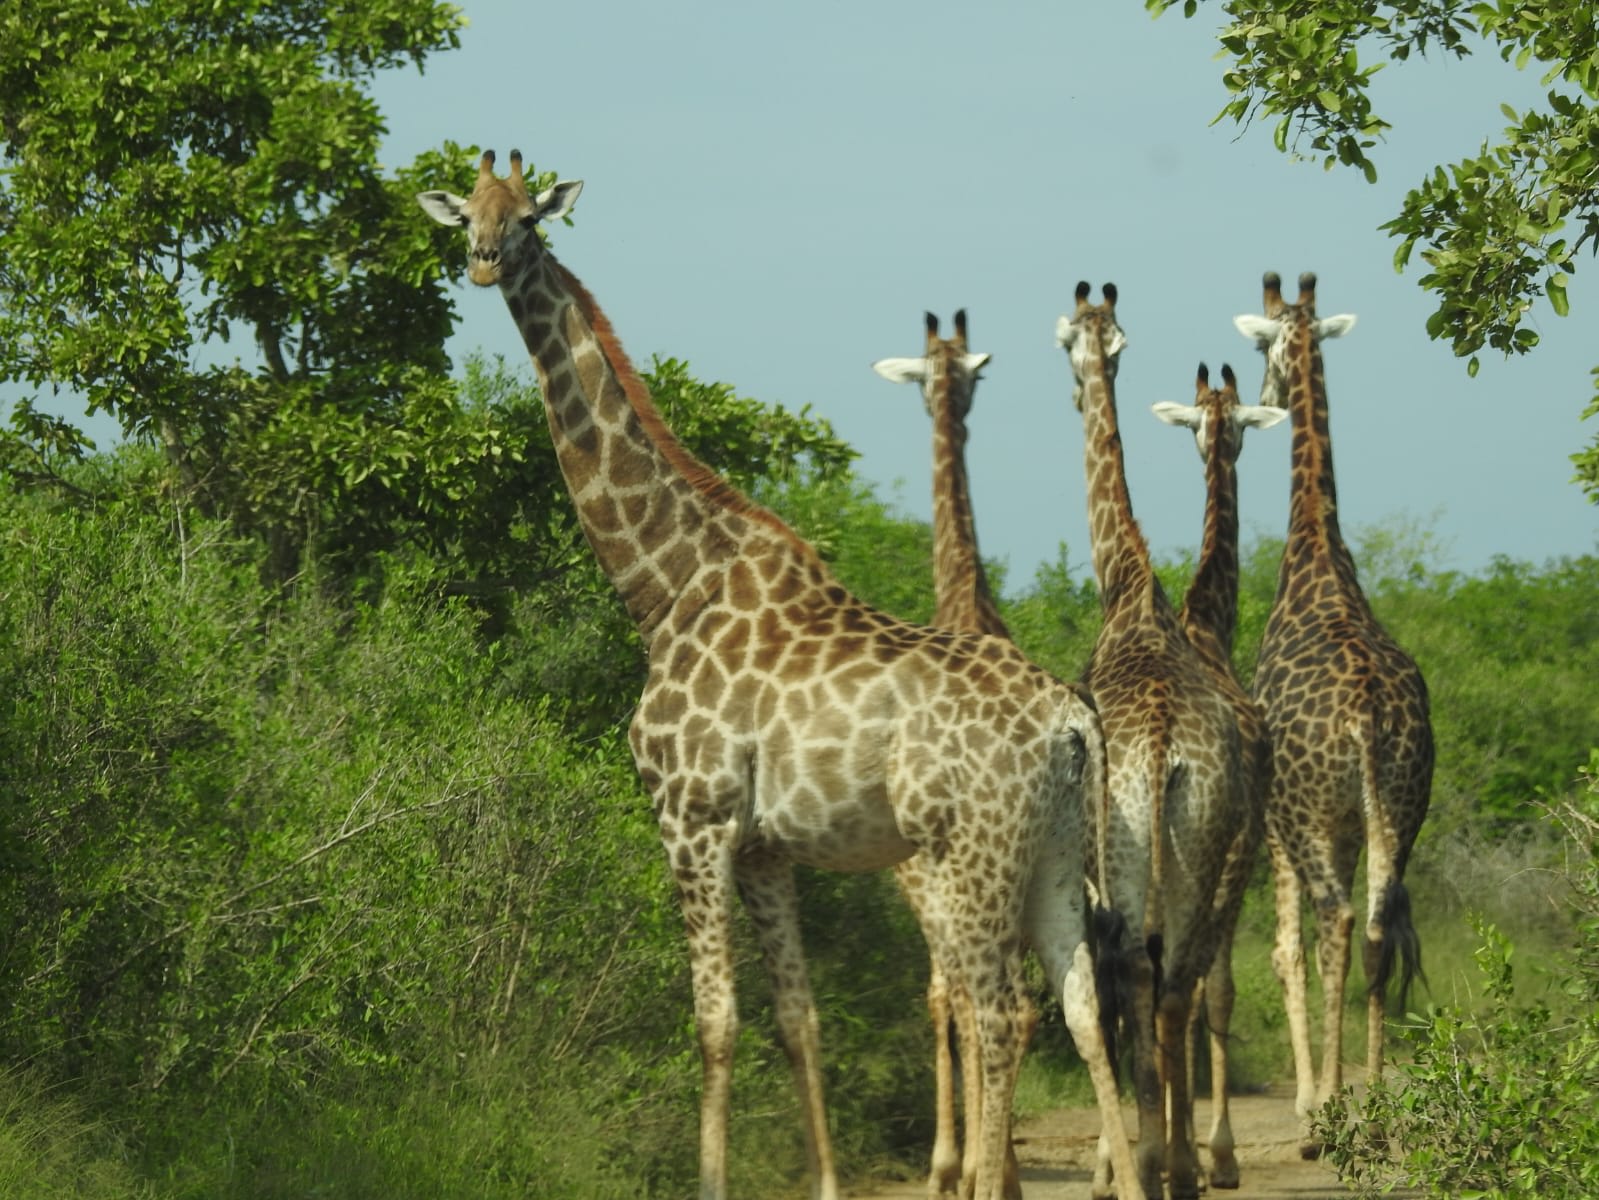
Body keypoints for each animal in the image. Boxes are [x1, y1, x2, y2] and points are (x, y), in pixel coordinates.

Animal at [417, 151, 1149, 1200]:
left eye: (526, 220)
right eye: (466, 214)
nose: (482, 261)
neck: (663, 586)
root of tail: (1071, 722)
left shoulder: (690, 817)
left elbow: (715, 1024)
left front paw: (711, 1180)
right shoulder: (765, 846)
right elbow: (797, 1021)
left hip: (970, 852)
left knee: (999, 1011)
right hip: (1051, 851)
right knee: (1083, 1004)